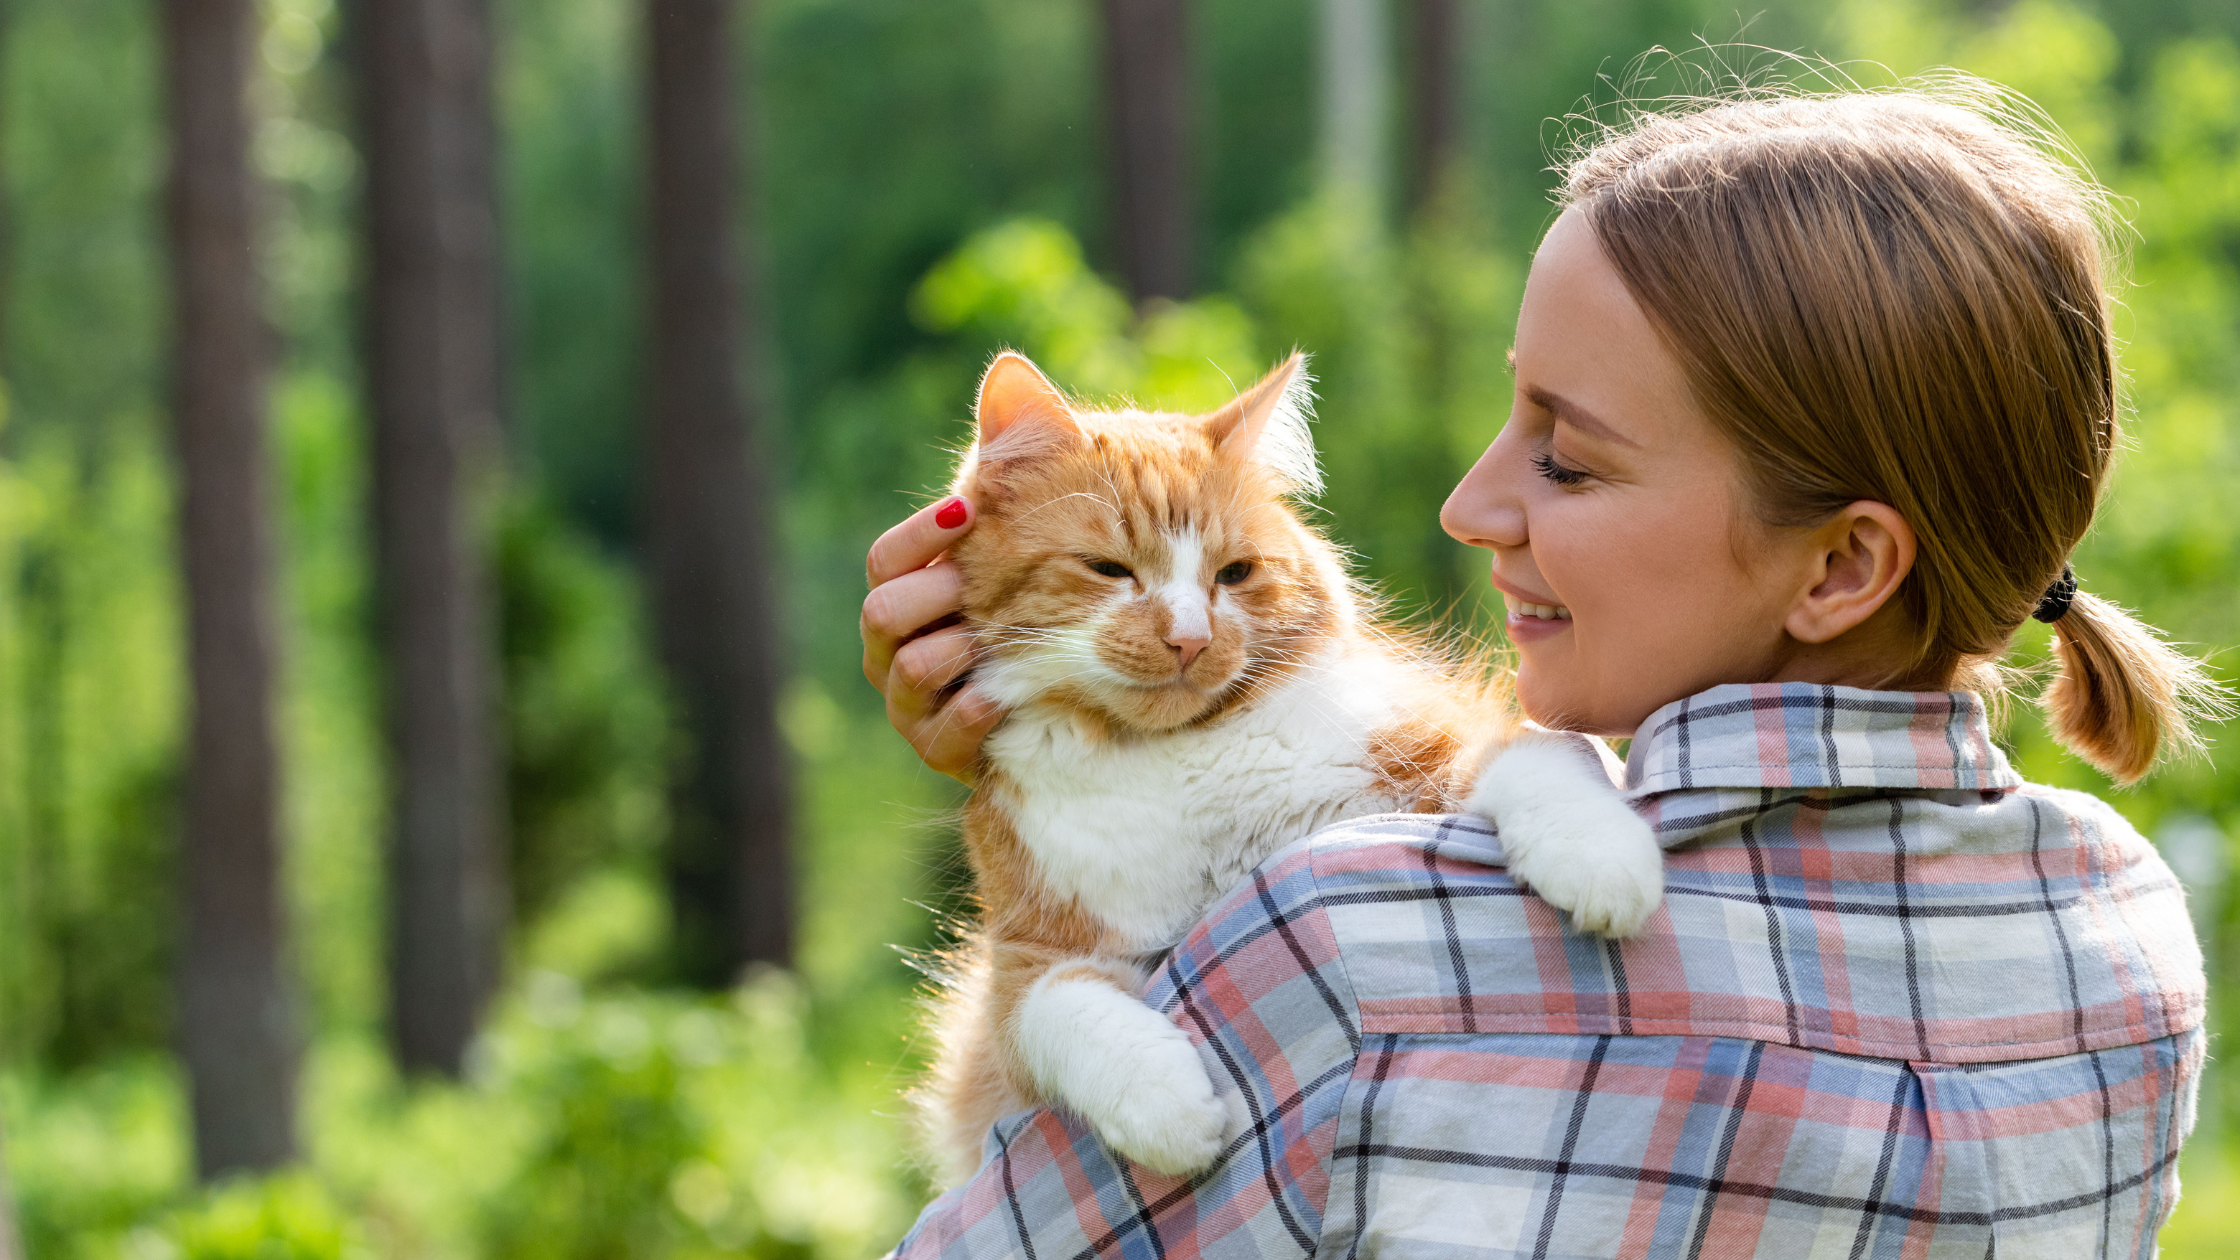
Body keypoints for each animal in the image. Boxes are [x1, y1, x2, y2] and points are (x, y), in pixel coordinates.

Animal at [909, 347, 1666, 1183]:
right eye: (1109, 569)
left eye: (1235, 574)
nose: (1190, 638)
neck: (1178, 759)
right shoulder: (1023, 967)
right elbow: (1060, 1011)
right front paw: (1168, 1109)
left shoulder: (1442, 746)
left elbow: (1536, 760)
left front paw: (1601, 860)